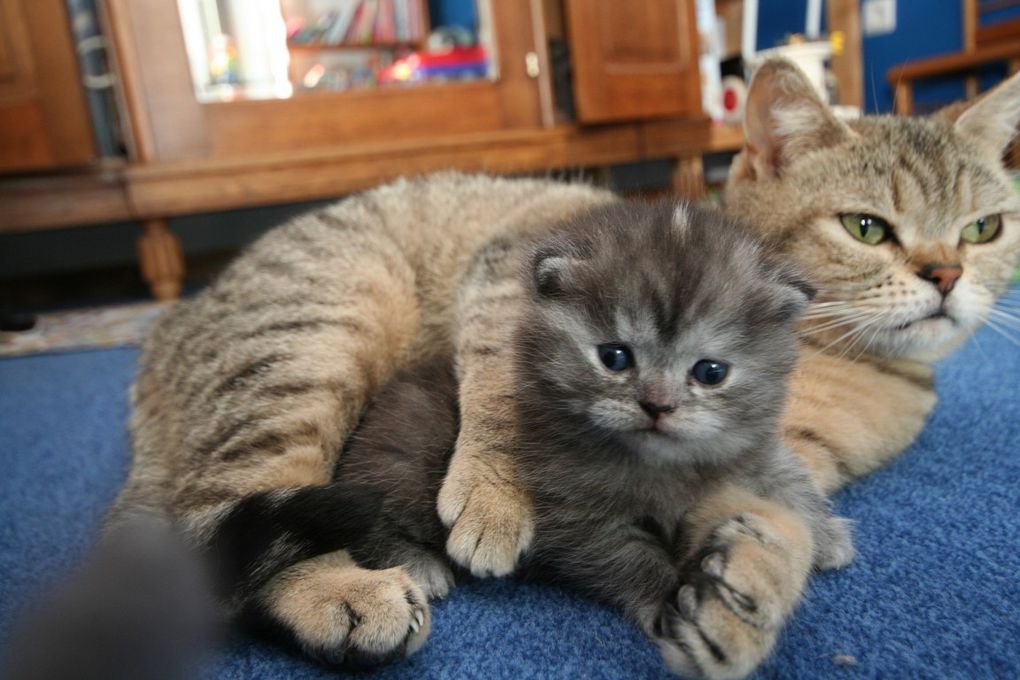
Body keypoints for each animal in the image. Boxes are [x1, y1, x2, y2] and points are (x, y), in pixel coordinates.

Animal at [109, 59, 1020, 676]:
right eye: (867, 228)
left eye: (985, 229)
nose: (947, 275)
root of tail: (166, 335)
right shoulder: (519, 265)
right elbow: (504, 385)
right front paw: (495, 495)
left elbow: (784, 506)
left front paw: (768, 571)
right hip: (311, 342)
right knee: (223, 521)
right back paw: (339, 590)